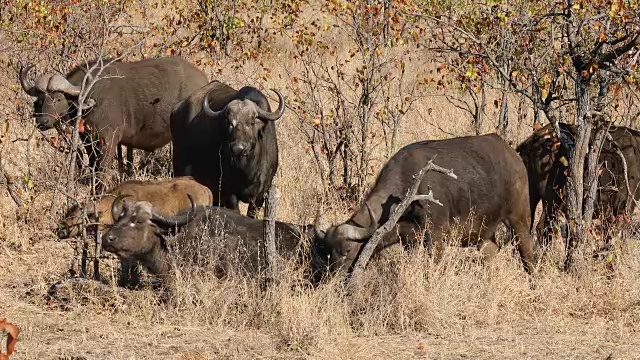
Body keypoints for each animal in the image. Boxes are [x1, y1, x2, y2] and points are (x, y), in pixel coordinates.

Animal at [19, 56, 208, 188]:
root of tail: (203, 80)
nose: (43, 121)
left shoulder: (109, 140)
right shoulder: (88, 140)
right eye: (41, 100)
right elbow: (93, 165)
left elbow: (102, 169)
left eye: (58, 99)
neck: (90, 94)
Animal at [169, 80, 284, 218]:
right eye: (229, 123)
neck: (247, 169)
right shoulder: (229, 193)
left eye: (251, 122)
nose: (238, 148)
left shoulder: (260, 195)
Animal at [312, 135, 532, 276]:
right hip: (484, 233)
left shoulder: (436, 238)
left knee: (528, 255)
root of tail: (513, 155)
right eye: (328, 253)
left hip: (519, 218)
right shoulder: (409, 242)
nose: (334, 277)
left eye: (348, 250)